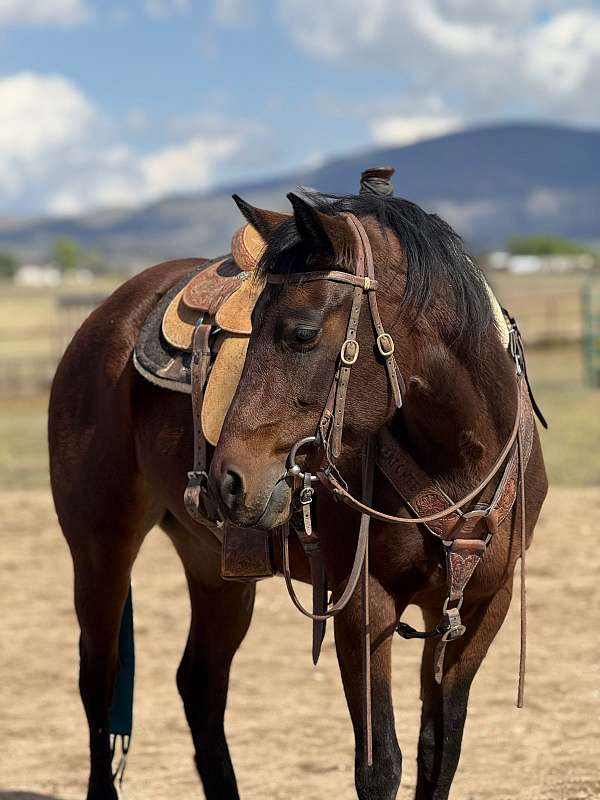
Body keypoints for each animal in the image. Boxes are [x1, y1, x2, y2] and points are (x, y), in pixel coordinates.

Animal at [48, 187, 547, 800]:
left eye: (302, 333)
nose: (229, 478)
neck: (459, 460)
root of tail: (104, 319)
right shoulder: (362, 602)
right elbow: (380, 764)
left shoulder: (481, 605)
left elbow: (440, 753)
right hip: (101, 549)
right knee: (99, 680)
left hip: (215, 569)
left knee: (200, 683)